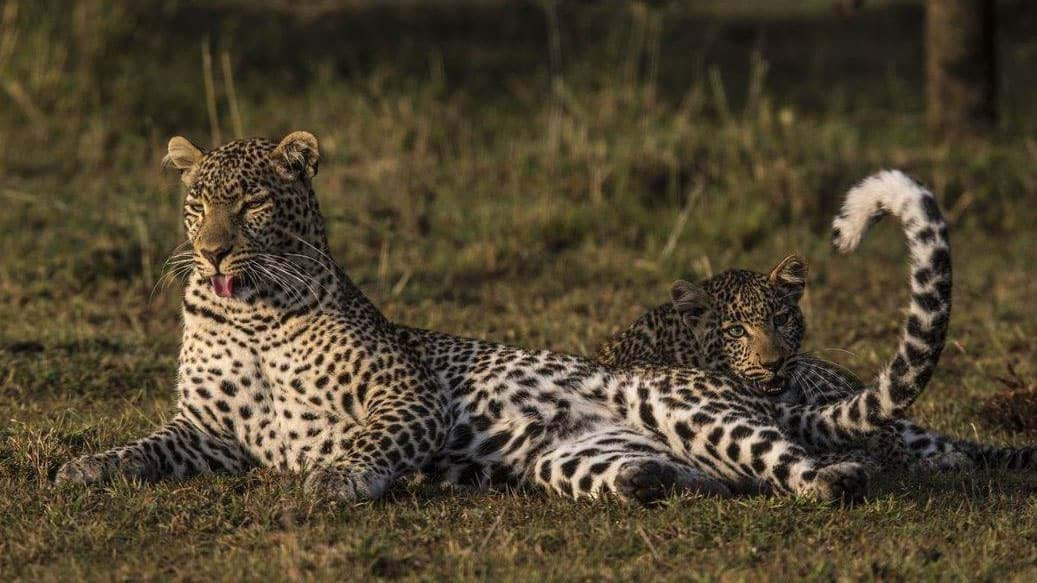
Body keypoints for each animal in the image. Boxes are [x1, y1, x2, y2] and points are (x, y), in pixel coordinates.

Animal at [54, 133, 949, 502]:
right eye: (198, 202)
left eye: (251, 206)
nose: (209, 253)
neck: (251, 316)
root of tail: (760, 387)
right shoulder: (207, 429)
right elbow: (143, 446)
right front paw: (85, 467)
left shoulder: (405, 393)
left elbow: (371, 438)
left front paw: (338, 475)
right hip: (576, 459)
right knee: (691, 475)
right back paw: (646, 482)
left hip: (688, 406)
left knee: (803, 464)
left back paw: (836, 477)